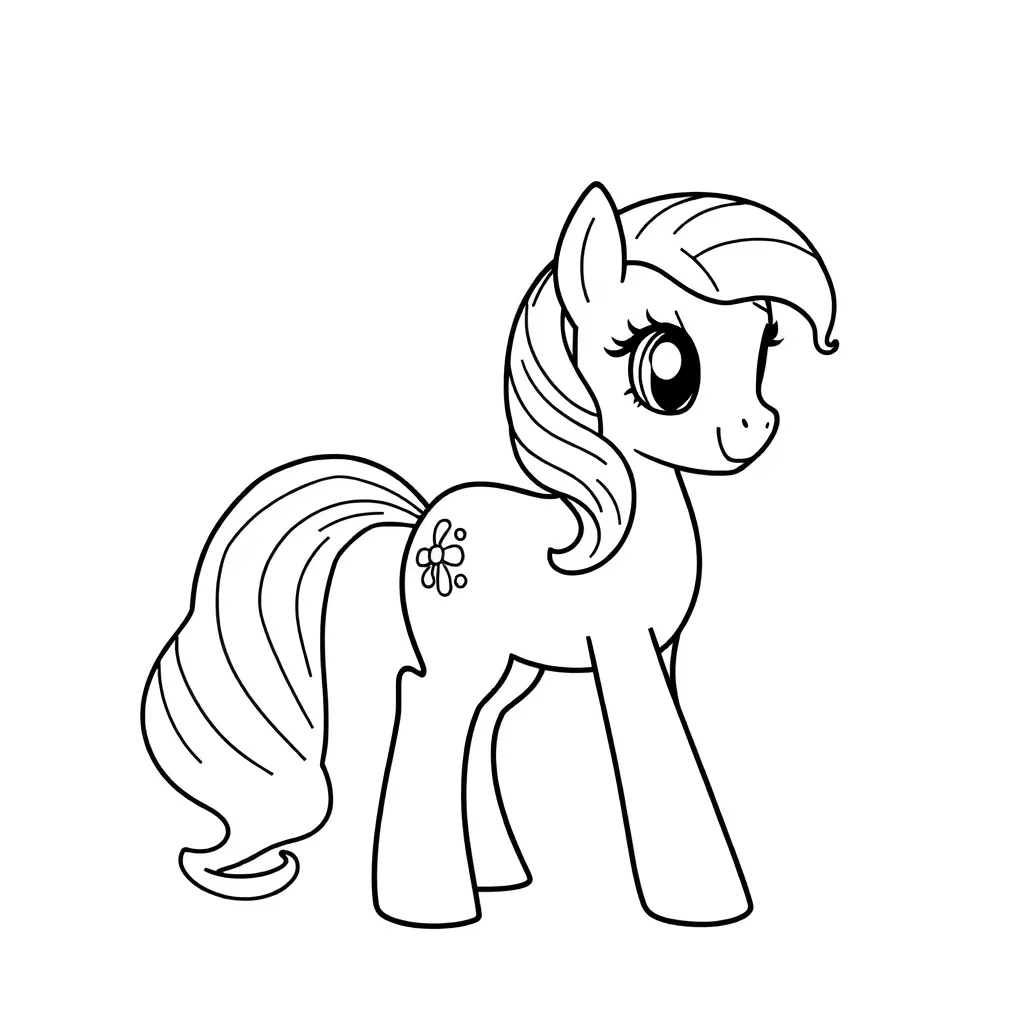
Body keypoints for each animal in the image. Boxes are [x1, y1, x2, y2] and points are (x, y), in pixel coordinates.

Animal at [141, 182, 838, 927]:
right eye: (668, 370)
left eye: (764, 343)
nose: (751, 429)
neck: (617, 527)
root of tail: (420, 527)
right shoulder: (623, 648)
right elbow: (657, 744)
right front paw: (704, 902)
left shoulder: (665, 649)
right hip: (465, 658)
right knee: (431, 712)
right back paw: (430, 904)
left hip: (508, 670)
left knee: (475, 728)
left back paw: (498, 877)